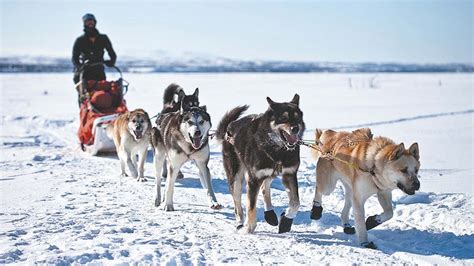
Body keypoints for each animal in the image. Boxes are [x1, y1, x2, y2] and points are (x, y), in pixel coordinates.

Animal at [217, 94, 306, 234]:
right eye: (284, 118)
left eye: (297, 117)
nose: (295, 128)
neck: (278, 150)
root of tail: (229, 129)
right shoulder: (254, 179)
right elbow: (251, 206)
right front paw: (249, 227)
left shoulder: (289, 174)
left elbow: (296, 203)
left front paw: (286, 220)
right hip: (236, 178)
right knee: (237, 203)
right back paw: (240, 223)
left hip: (270, 173)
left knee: (265, 187)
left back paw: (270, 214)